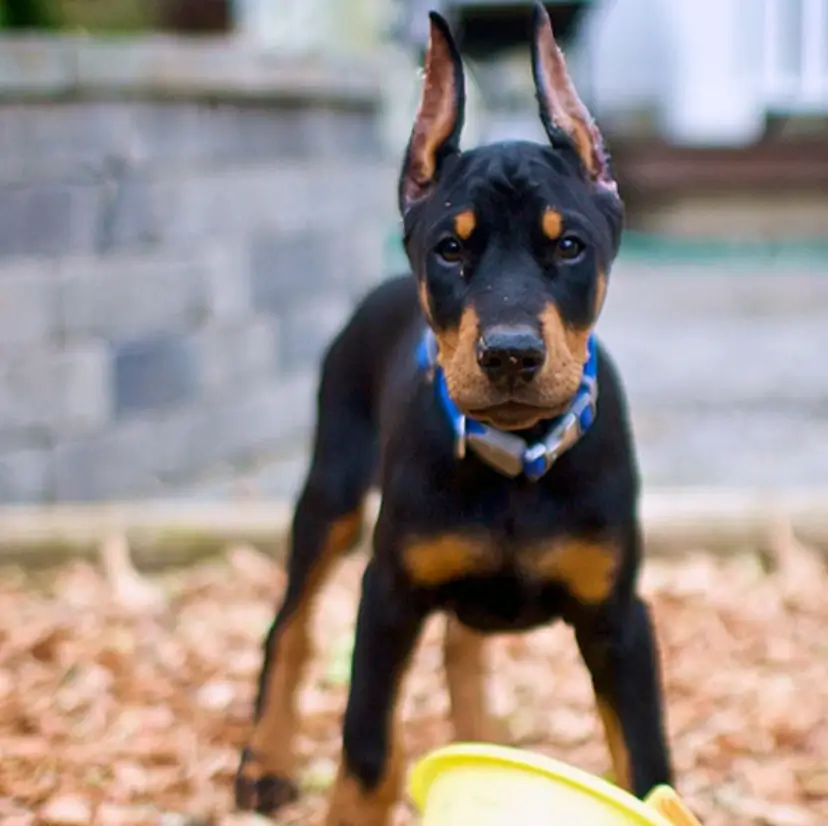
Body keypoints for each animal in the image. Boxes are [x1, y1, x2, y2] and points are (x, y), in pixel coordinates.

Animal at [233, 3, 672, 820]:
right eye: (449, 249)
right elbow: (367, 752)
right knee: (289, 628)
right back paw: (264, 761)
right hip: (332, 491)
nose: (509, 356)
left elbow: (647, 766)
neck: (517, 457)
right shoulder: (387, 597)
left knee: (460, 649)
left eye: (569, 245)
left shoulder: (620, 619)